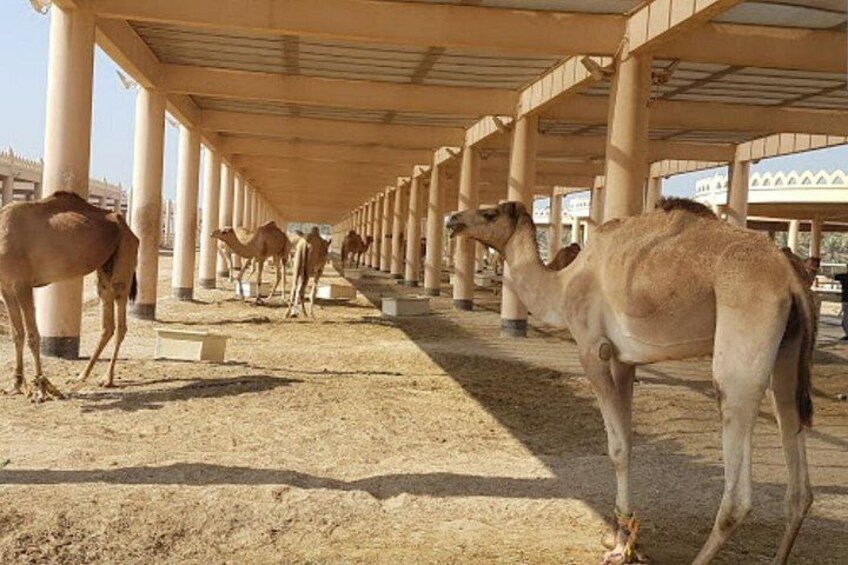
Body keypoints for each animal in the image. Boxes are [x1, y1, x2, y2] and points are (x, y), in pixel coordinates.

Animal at [0, 191, 139, 400]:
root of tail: (129, 230)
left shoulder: (22, 283)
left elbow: (33, 335)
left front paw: (41, 388)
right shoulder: (6, 286)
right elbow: (17, 334)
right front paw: (16, 386)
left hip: (125, 259)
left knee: (121, 317)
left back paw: (107, 378)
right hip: (104, 270)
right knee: (108, 321)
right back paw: (82, 375)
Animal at [447, 199, 816, 565]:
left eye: (489, 213)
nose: (453, 220)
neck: (564, 284)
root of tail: (790, 277)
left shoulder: (592, 349)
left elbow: (616, 447)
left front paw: (620, 546)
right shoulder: (624, 360)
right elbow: (627, 441)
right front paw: (622, 539)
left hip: (743, 336)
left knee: (738, 488)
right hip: (788, 351)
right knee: (794, 452)